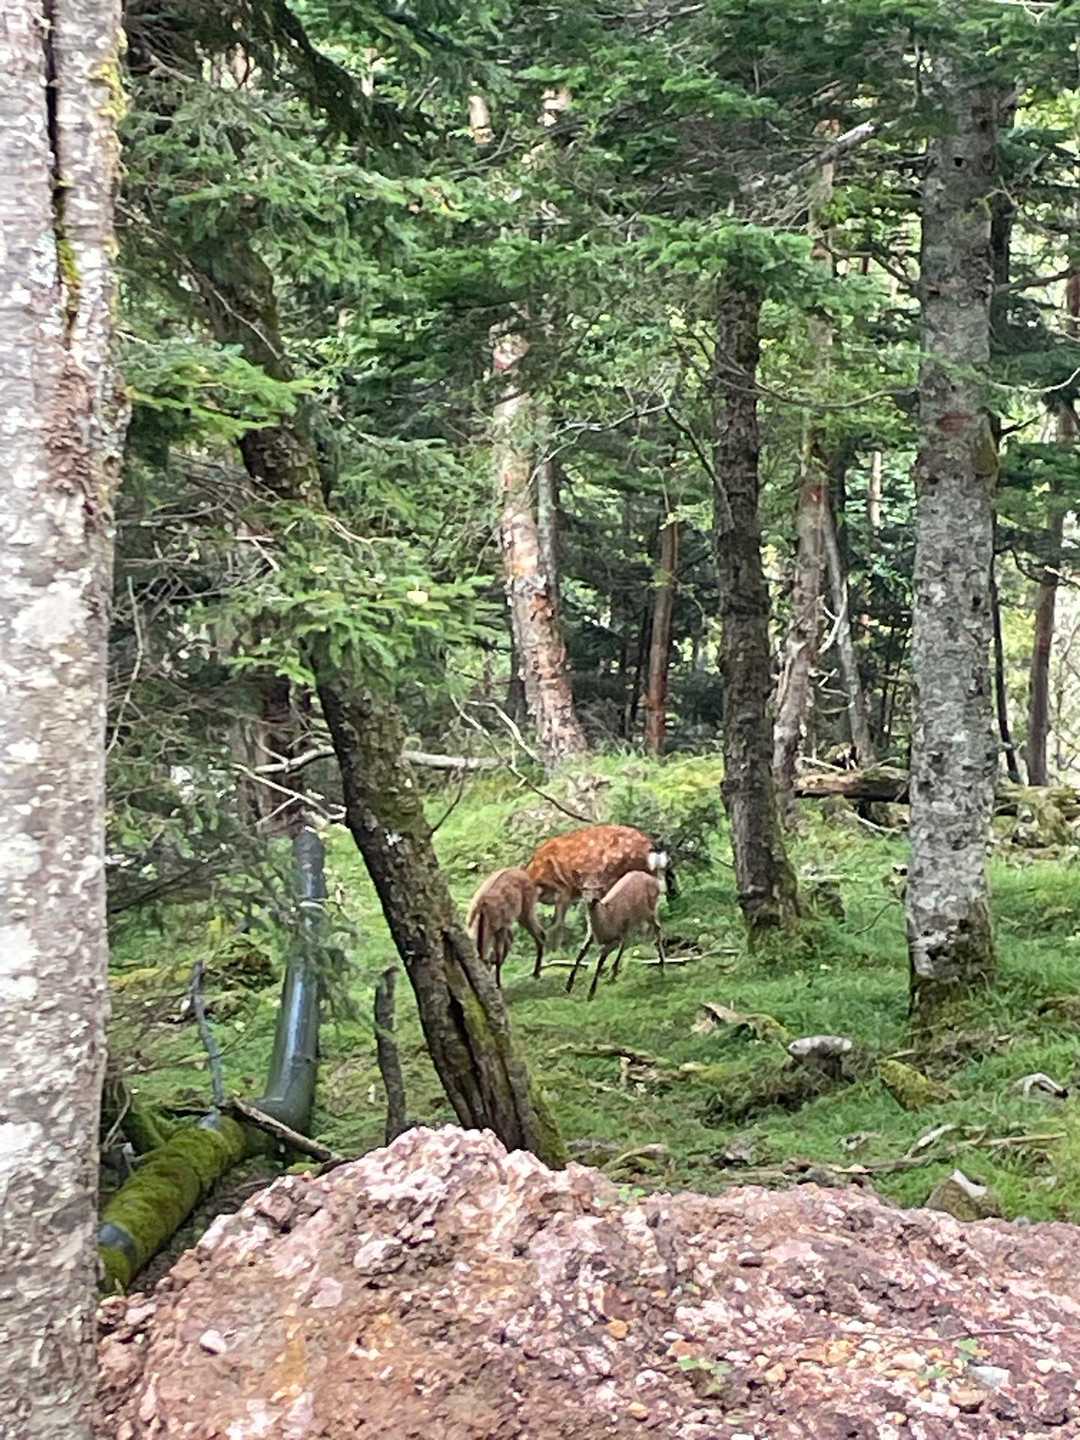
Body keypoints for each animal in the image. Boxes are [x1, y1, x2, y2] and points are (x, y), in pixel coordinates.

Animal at [565, 865, 668, 1001]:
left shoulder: (615, 938)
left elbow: (600, 961)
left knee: (656, 928)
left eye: (599, 888)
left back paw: (662, 966)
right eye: (584, 888)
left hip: (650, 909)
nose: (594, 900)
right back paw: (614, 973)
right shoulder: (590, 933)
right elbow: (580, 954)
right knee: (630, 938)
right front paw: (568, 986)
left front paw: (591, 993)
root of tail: (655, 881)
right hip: (632, 920)